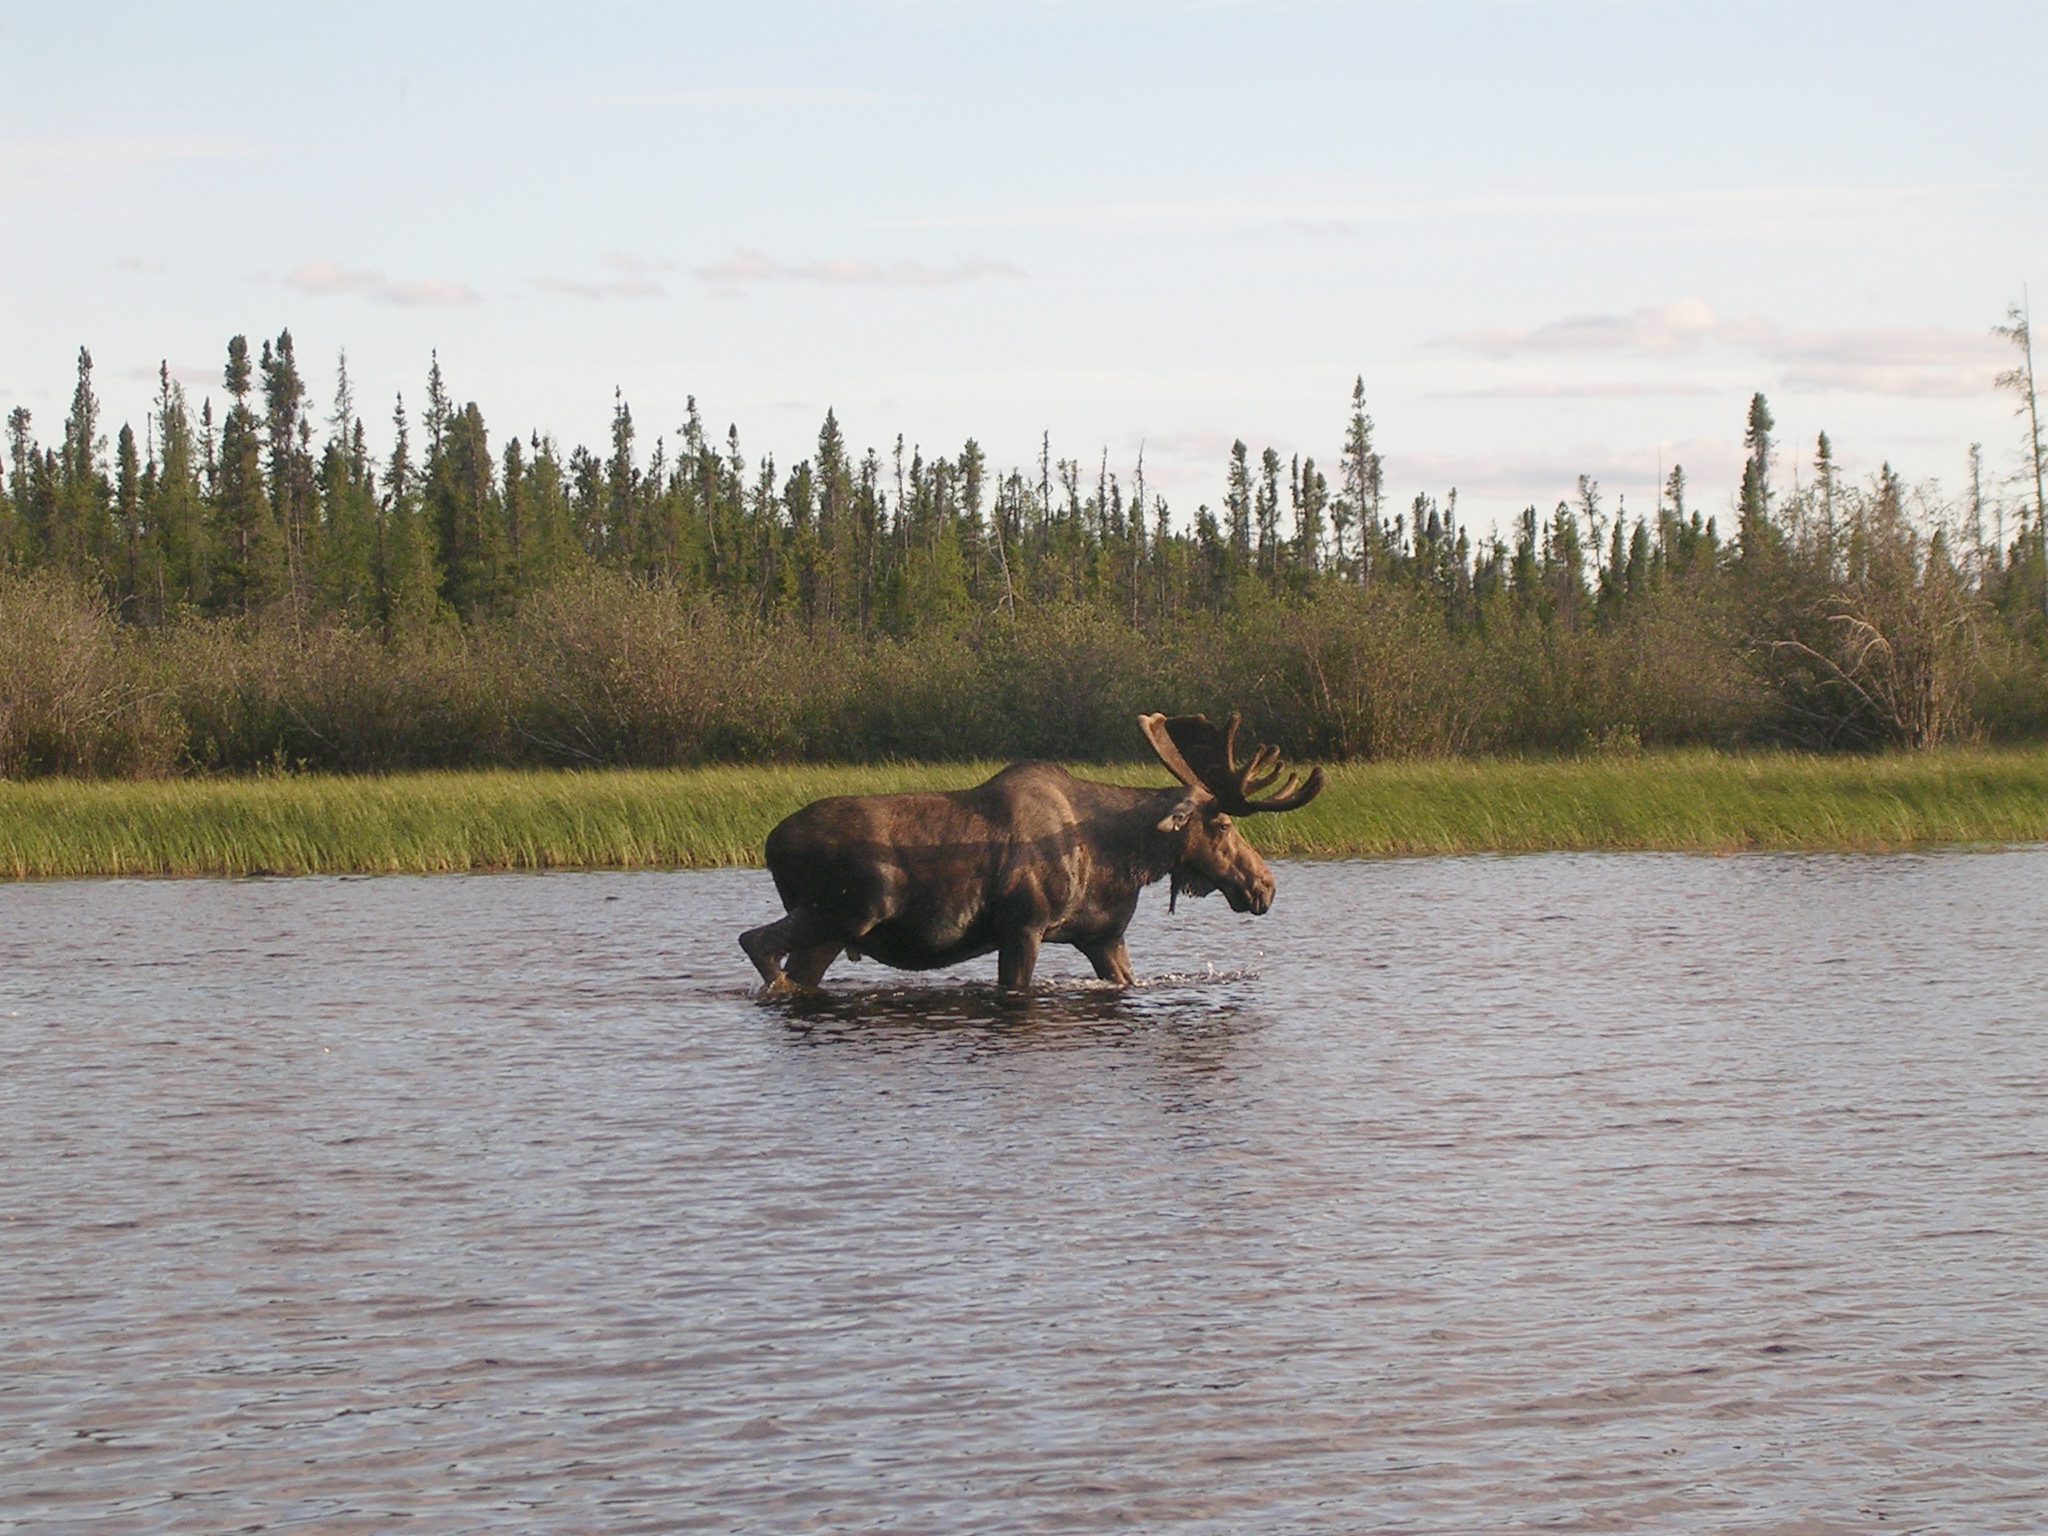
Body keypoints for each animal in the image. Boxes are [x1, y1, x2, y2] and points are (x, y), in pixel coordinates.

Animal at [741, 712, 1327, 991]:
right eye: (1224, 824)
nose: (1265, 885)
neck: (1118, 859)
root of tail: (770, 843)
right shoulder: (1023, 925)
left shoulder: (1103, 936)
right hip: (844, 909)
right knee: (756, 942)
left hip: (834, 932)